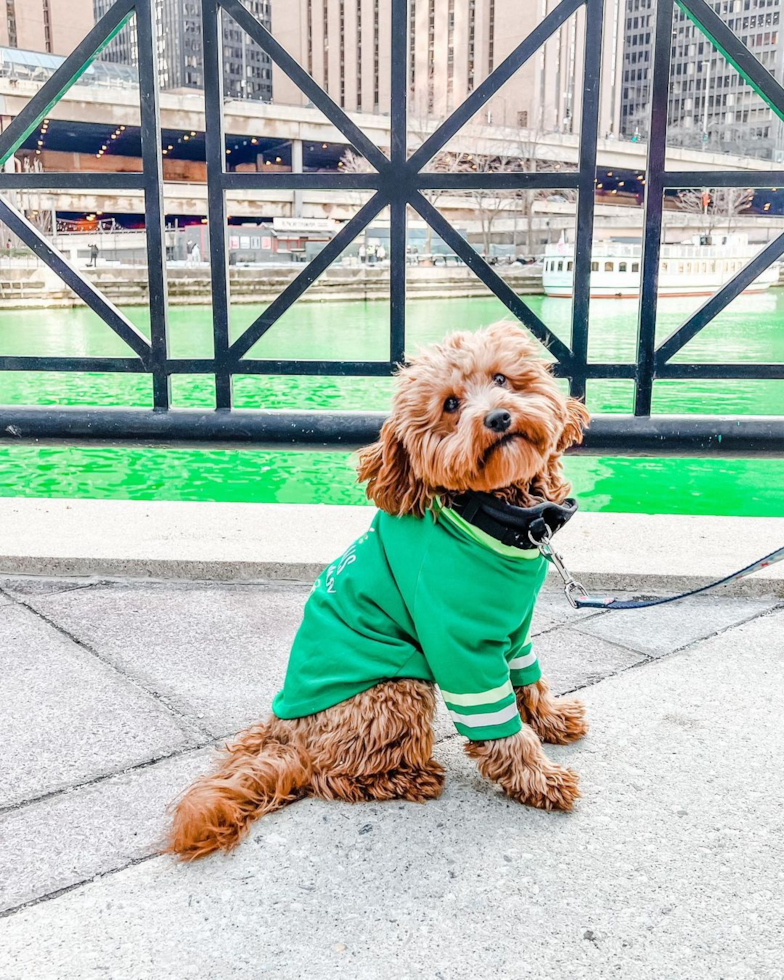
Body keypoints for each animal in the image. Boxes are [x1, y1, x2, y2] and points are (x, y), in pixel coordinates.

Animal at [168, 322, 592, 856]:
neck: (492, 518)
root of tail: (288, 734)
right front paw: (541, 780)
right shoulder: (461, 646)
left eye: (501, 378)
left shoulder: (513, 632)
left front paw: (552, 720)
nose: (497, 417)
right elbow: (501, 727)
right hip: (394, 690)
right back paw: (406, 778)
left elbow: (529, 681)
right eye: (451, 404)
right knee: (332, 775)